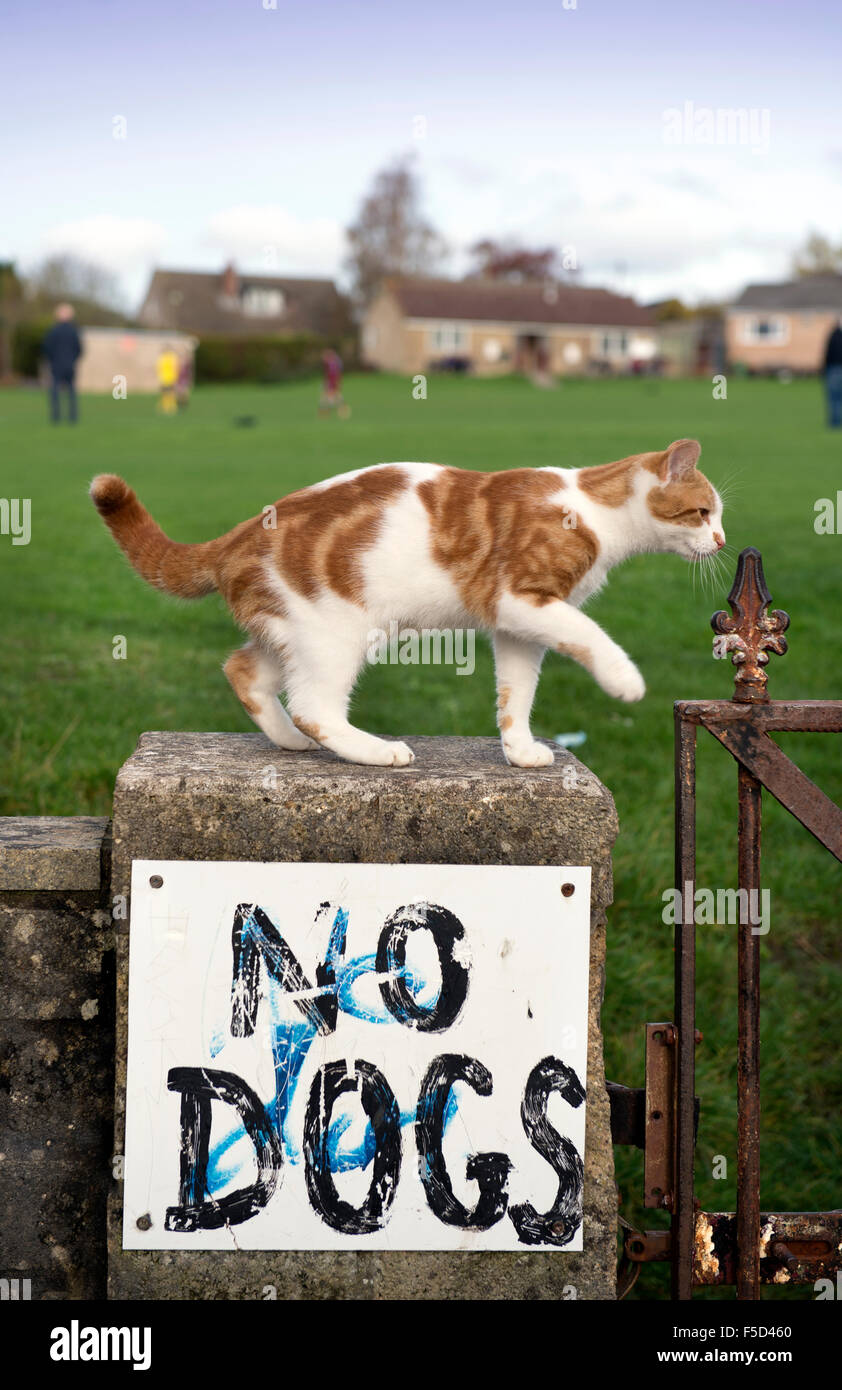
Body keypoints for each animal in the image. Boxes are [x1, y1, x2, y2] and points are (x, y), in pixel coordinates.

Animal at [92, 439, 728, 772]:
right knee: (313, 705)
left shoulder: (517, 624)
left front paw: (520, 750)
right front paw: (625, 681)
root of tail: (236, 535)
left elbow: (516, 694)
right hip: (335, 633)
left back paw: (289, 741)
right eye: (703, 513)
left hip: (296, 630)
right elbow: (590, 634)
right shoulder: (518, 597)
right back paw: (375, 751)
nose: (723, 541)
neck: (595, 509)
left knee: (244, 670)